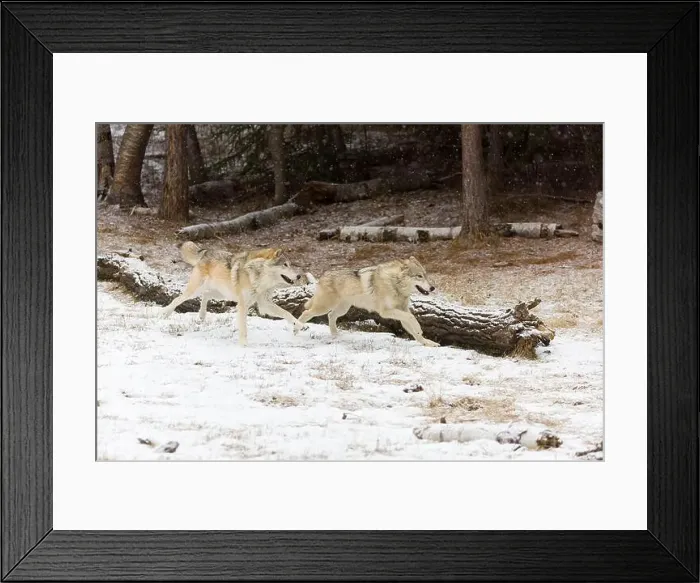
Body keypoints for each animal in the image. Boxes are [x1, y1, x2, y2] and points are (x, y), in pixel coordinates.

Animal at [160, 242, 303, 346]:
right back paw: (164, 314)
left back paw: (202, 315)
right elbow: (243, 328)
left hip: (221, 294)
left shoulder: (265, 304)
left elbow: (287, 313)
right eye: (285, 265)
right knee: (178, 299)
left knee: (205, 296)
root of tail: (205, 252)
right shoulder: (243, 305)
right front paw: (244, 345)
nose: (299, 276)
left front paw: (299, 326)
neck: (258, 278)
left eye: (290, 264)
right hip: (195, 291)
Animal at [294, 256, 439, 347]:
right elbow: (412, 318)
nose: (433, 287)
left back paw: (336, 336)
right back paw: (295, 330)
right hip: (323, 307)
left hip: (342, 309)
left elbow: (413, 328)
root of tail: (322, 276)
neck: (394, 284)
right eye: (419, 276)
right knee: (306, 313)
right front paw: (420, 330)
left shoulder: (402, 311)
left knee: (331, 316)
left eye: (426, 275)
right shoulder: (386, 312)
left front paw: (427, 342)